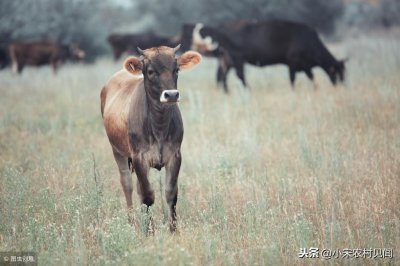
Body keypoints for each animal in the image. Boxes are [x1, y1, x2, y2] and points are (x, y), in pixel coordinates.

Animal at [100, 44, 200, 232]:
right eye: (151, 71)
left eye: (176, 69)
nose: (171, 95)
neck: (159, 126)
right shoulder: (139, 157)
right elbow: (147, 196)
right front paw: (149, 232)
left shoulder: (175, 155)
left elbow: (170, 193)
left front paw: (173, 230)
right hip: (117, 151)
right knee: (127, 184)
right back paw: (132, 222)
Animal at [181, 19, 346, 92]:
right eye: (338, 72)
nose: (341, 86)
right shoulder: (293, 61)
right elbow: (293, 78)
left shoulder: (304, 65)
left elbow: (311, 77)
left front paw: (316, 89)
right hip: (236, 58)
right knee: (239, 76)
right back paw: (248, 90)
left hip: (226, 59)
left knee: (222, 76)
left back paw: (226, 92)